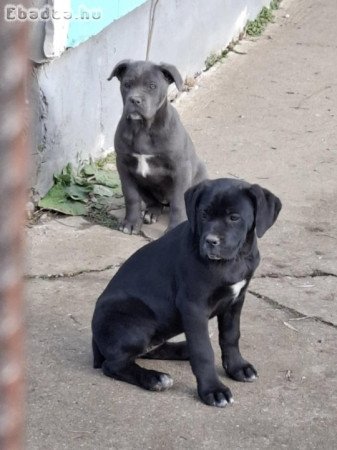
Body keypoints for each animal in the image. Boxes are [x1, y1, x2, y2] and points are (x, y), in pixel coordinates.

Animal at [92, 179, 280, 408]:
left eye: (234, 217)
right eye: (203, 214)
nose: (210, 241)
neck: (233, 260)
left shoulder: (236, 300)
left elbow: (231, 335)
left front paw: (237, 367)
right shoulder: (193, 306)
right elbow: (203, 350)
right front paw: (213, 390)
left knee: (150, 349)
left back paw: (182, 350)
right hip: (135, 322)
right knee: (113, 364)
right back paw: (154, 378)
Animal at [109, 59, 206, 234]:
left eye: (152, 86)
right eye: (126, 84)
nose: (135, 100)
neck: (143, 128)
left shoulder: (180, 169)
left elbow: (178, 202)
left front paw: (175, 226)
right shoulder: (124, 167)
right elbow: (131, 196)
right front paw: (131, 223)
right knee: (154, 202)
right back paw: (151, 213)